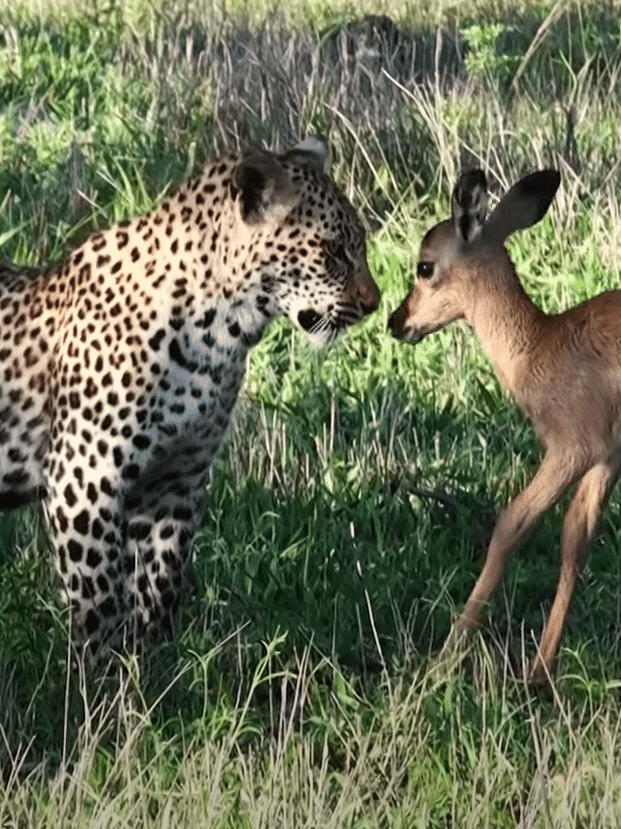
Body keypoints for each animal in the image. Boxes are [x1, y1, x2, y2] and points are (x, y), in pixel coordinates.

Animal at [0, 136, 379, 653]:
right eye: (334, 251)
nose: (373, 303)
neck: (221, 334)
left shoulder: (177, 481)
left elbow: (162, 583)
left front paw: (157, 662)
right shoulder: (84, 479)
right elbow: (101, 602)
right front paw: (100, 672)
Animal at [389, 167, 621, 682]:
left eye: (424, 266)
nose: (397, 321)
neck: (540, 346)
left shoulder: (572, 448)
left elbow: (512, 523)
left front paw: (445, 656)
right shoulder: (607, 460)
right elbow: (576, 538)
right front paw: (540, 668)